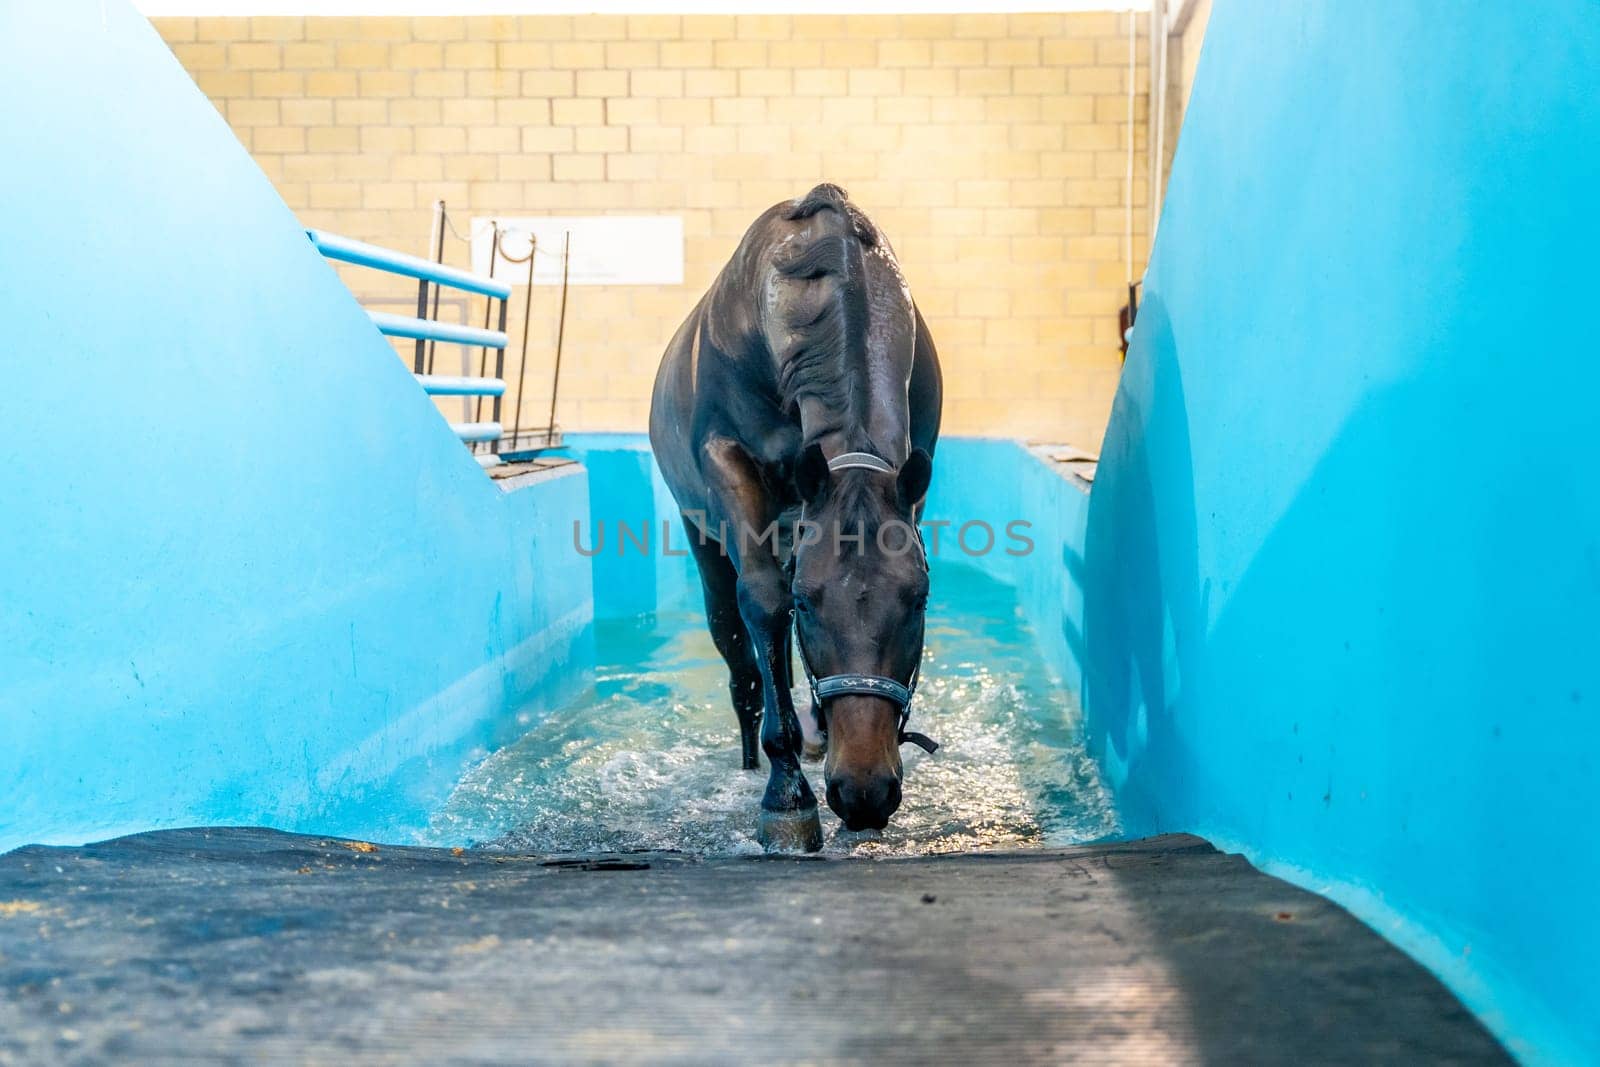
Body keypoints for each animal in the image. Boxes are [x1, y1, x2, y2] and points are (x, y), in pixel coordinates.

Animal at [643, 183, 934, 851]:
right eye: (807, 602)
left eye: (918, 600)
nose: (863, 790)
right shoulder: (729, 465)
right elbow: (764, 605)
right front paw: (787, 794)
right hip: (704, 537)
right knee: (741, 660)